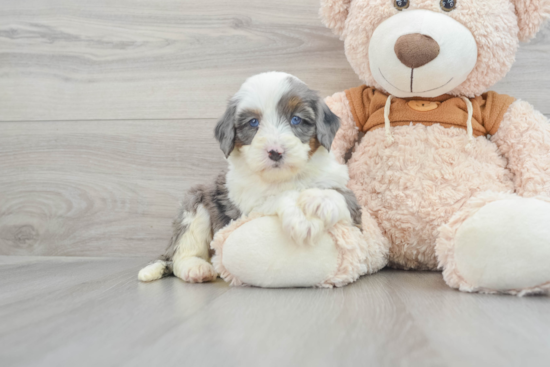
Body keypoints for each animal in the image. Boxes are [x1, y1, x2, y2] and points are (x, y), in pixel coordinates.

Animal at [138, 72, 364, 284]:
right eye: (253, 122)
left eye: (296, 119)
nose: (275, 152)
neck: (285, 178)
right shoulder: (248, 206)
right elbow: (278, 197)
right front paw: (302, 219)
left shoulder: (343, 191)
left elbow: (340, 196)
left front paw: (319, 200)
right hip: (195, 204)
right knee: (180, 254)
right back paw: (196, 268)